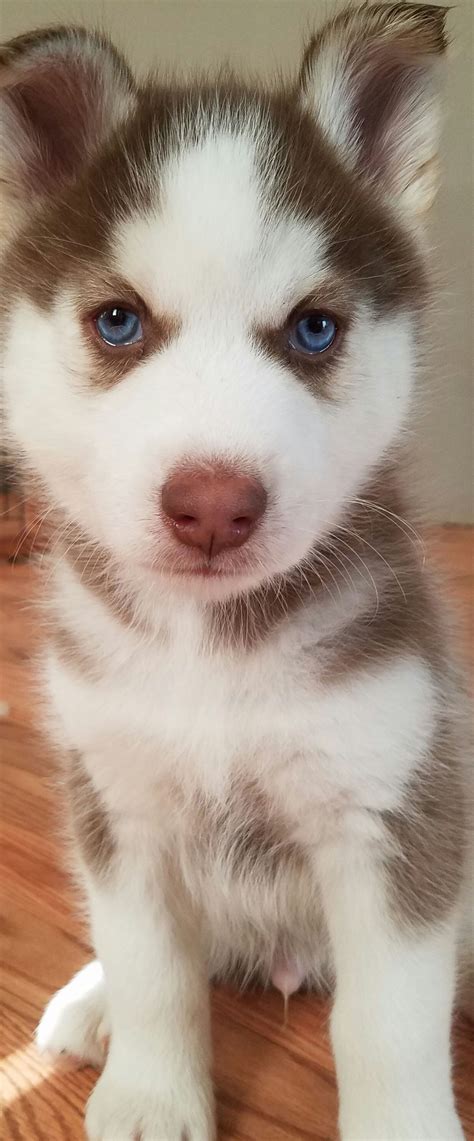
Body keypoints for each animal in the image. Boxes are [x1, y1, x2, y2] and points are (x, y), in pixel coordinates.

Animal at [1, 4, 472, 1136]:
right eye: (118, 319)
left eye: (315, 328)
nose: (213, 501)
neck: (205, 652)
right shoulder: (117, 794)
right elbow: (150, 965)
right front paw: (148, 1090)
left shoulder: (393, 810)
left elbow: (388, 1024)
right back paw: (91, 1002)